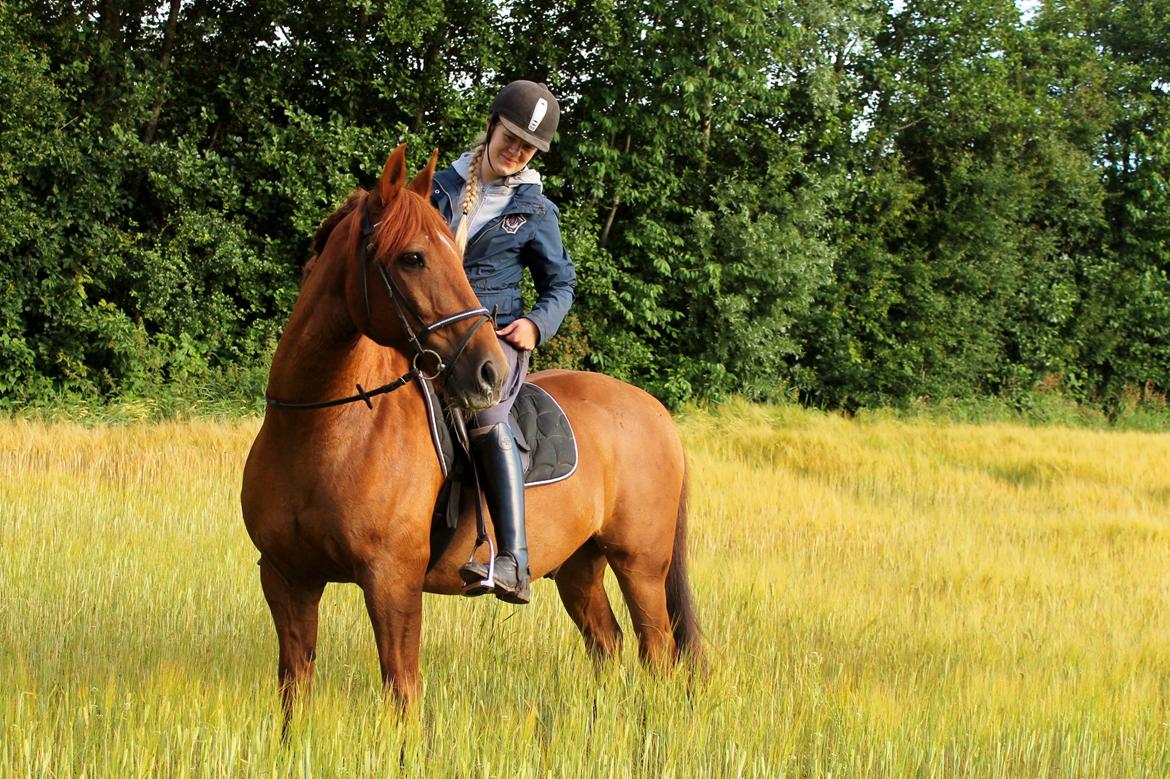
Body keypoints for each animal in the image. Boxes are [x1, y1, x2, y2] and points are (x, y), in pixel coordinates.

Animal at [237, 143, 692, 715]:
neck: (325, 429)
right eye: (412, 257)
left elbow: (402, 694)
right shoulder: (286, 580)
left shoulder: (392, 585)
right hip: (579, 564)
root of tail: (656, 413)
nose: (489, 371)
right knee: (606, 641)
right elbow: (293, 693)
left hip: (641, 565)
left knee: (658, 650)